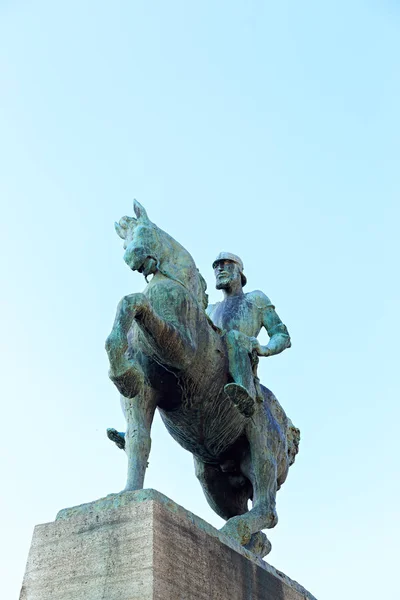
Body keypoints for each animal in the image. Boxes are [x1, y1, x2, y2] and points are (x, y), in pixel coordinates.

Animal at [104, 202, 298, 556]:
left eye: (142, 230)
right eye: (123, 239)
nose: (130, 258)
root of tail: (288, 430)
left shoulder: (180, 350)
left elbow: (133, 300)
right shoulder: (143, 394)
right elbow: (139, 441)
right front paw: (126, 495)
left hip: (261, 447)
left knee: (267, 507)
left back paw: (233, 533)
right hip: (213, 480)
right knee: (257, 522)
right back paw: (247, 543)